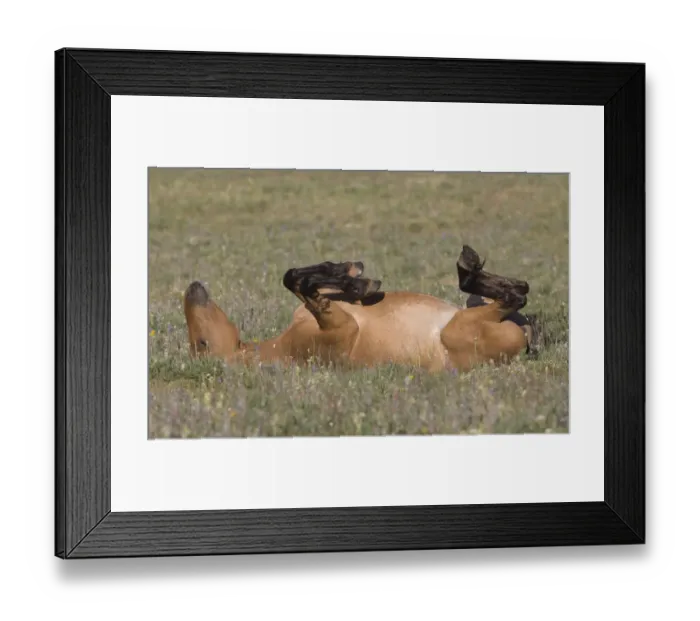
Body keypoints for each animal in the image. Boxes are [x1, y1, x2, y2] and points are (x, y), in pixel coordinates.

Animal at [183, 244, 538, 373]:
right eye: (201, 344)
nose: (190, 290)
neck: (278, 349)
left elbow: (296, 277)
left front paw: (349, 272)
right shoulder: (339, 330)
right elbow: (298, 283)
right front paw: (359, 282)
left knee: (514, 294)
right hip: (459, 328)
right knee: (511, 296)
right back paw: (470, 268)